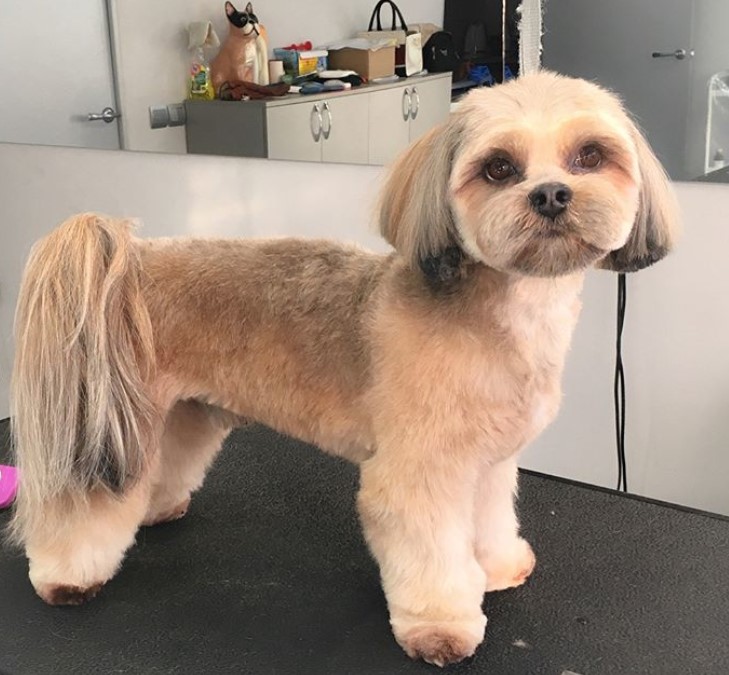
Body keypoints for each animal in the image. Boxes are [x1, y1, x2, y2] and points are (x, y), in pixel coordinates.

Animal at [8, 72, 676, 664]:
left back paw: (156, 507)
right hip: (106, 415)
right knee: (81, 503)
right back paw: (66, 576)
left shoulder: (487, 461)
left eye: (589, 156)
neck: (502, 313)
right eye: (499, 168)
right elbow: (429, 551)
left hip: (179, 412)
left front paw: (497, 567)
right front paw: (441, 626)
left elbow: (488, 518)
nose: (552, 194)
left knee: (162, 465)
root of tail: (134, 261)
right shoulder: (418, 472)